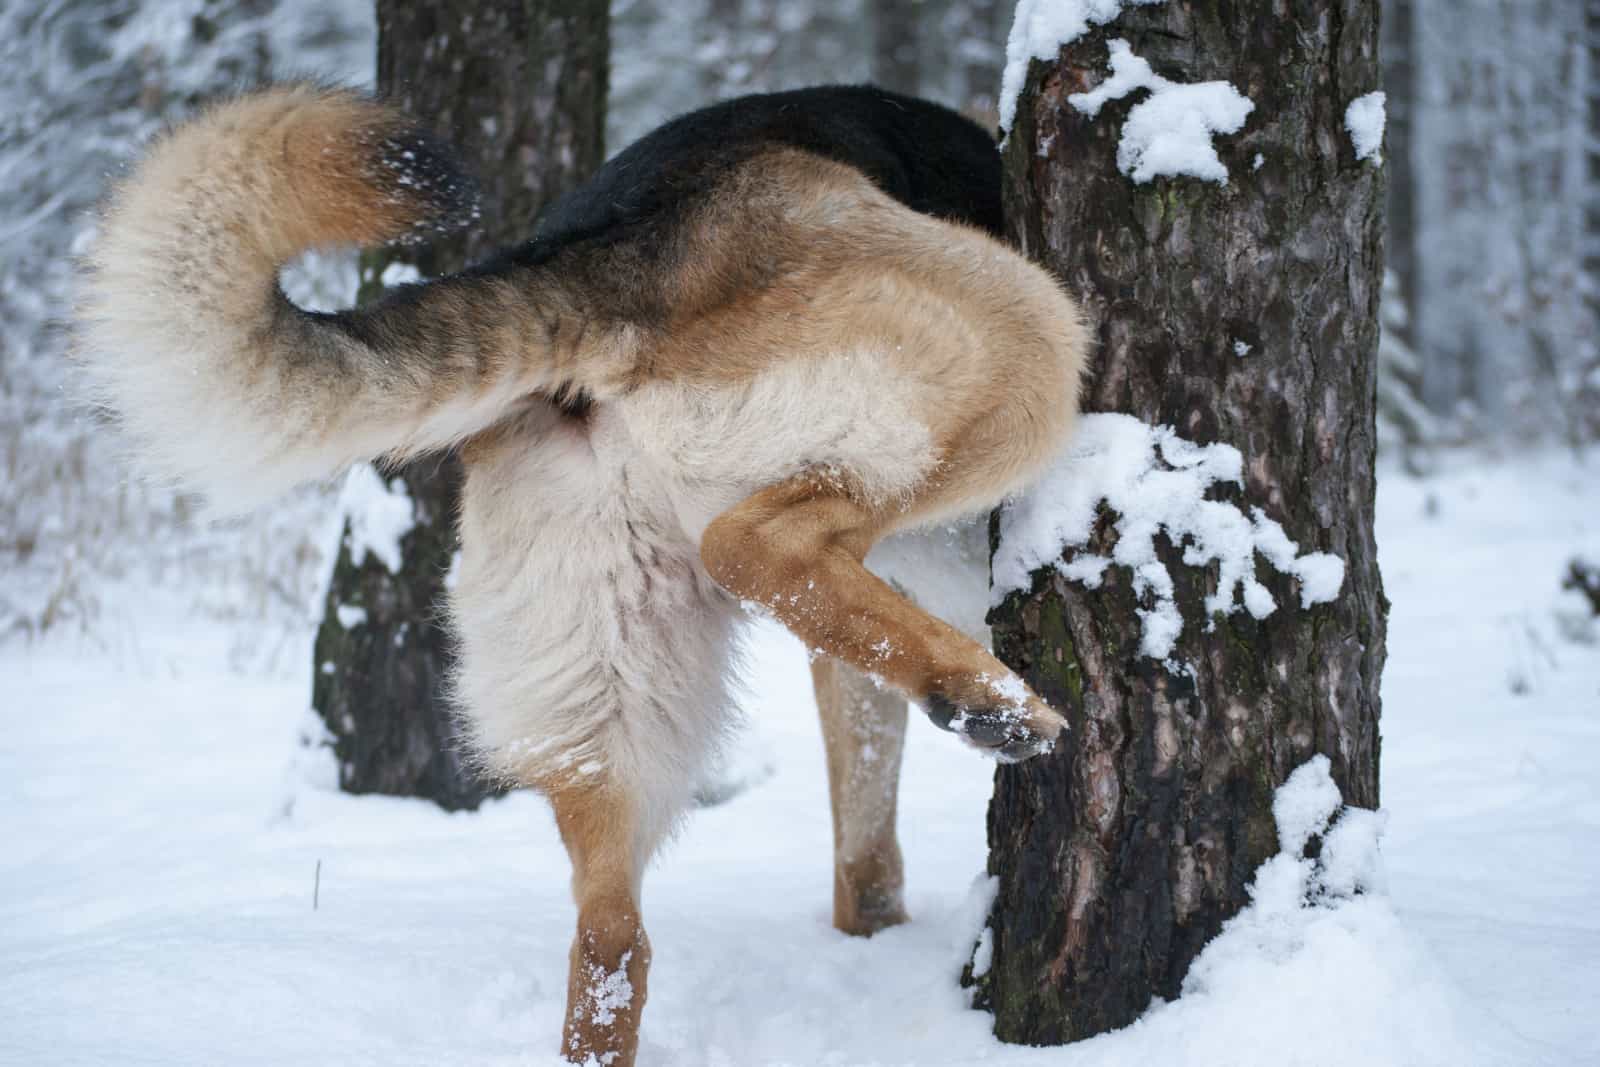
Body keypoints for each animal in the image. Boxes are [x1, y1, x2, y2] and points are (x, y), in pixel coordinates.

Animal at [75, 85, 1088, 1067]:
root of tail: (600, 242)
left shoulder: (849, 682)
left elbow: (864, 862)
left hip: (608, 707)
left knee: (610, 936)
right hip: (1026, 332)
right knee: (749, 544)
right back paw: (989, 701)